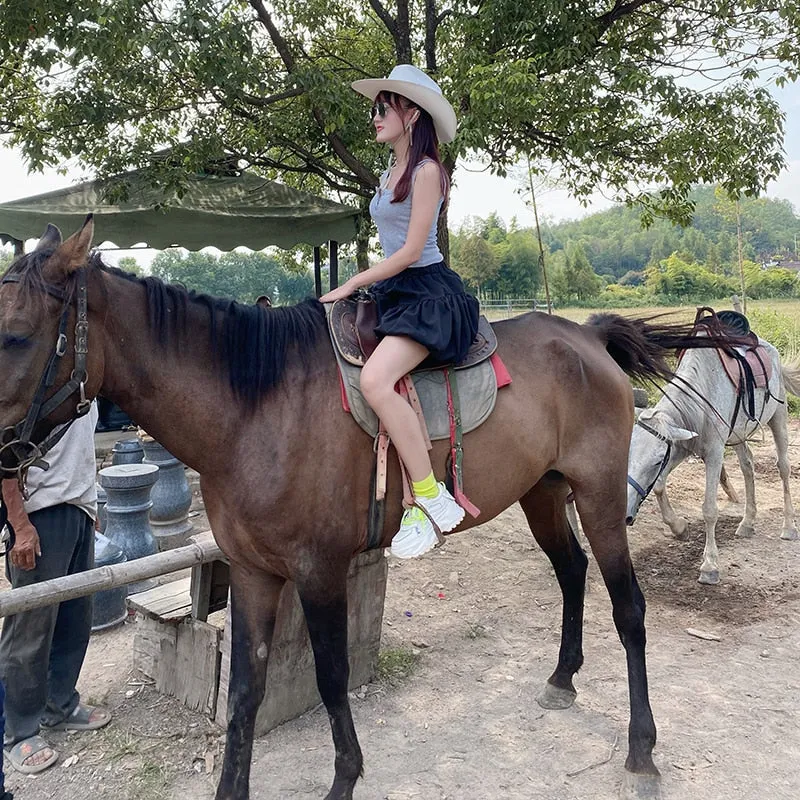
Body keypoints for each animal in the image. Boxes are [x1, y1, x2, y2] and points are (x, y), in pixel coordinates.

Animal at [0, 216, 744, 796]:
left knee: (629, 608)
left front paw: (344, 778)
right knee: (572, 574)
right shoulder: (252, 572)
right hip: (542, 493)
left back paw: (642, 749)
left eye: (15, 335)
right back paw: (562, 678)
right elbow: (243, 693)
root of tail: (587, 337)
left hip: (599, 496)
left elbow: (331, 678)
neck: (252, 409)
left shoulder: (318, 569)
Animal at [628, 338, 796, 580]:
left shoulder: (715, 454)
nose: (627, 515)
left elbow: (709, 509)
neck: (699, 401)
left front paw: (709, 565)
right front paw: (679, 527)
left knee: (783, 467)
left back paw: (789, 527)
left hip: (778, 417)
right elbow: (659, 485)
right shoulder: (681, 445)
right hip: (739, 435)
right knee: (747, 466)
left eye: (657, 460)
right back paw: (747, 523)